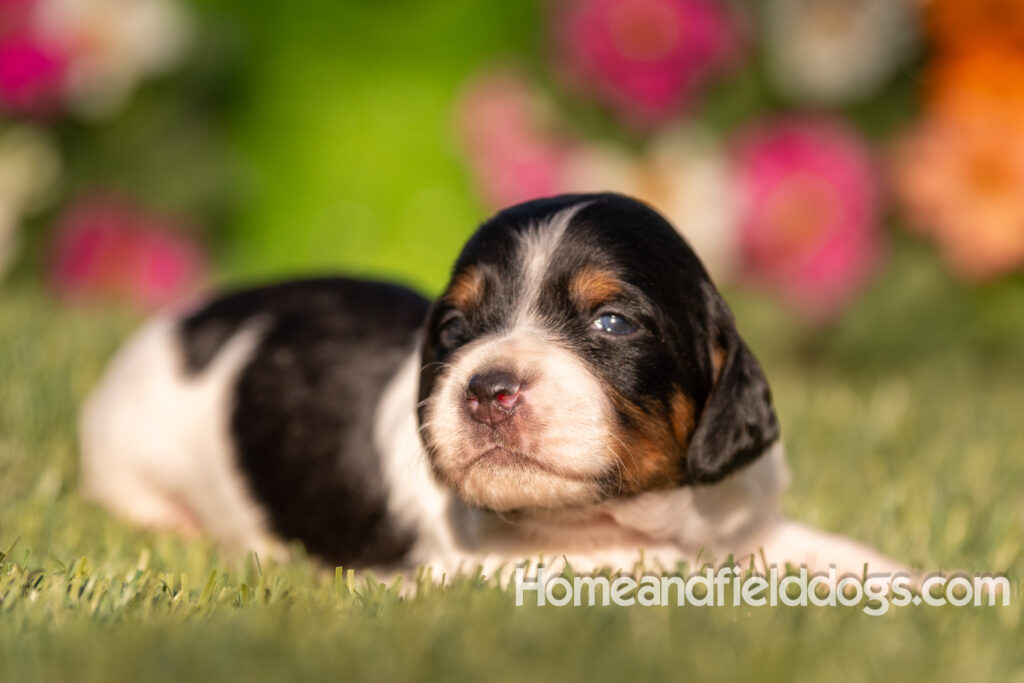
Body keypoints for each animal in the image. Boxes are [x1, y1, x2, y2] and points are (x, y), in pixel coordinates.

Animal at [83, 193, 909, 581]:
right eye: (453, 328)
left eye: (612, 321)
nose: (487, 389)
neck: (642, 513)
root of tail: (178, 322)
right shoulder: (475, 570)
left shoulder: (747, 519)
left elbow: (830, 551)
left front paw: (921, 583)